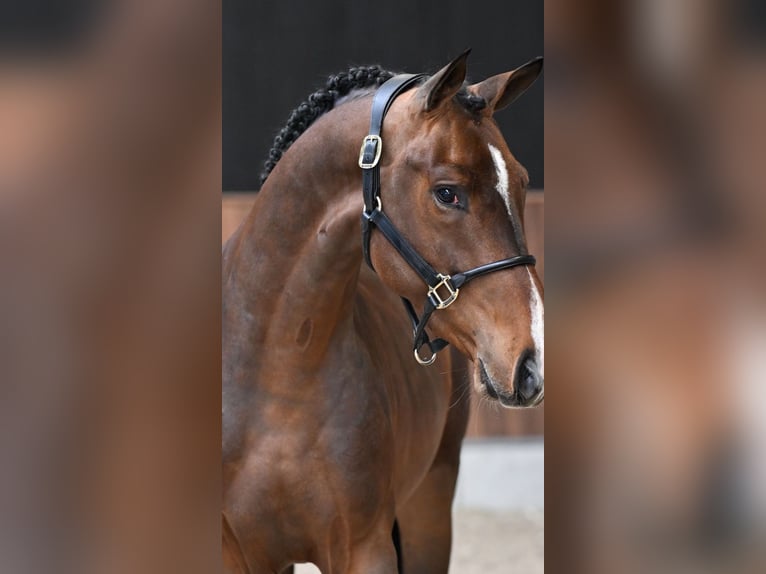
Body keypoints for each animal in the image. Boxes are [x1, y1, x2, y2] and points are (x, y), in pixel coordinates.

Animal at [222, 50, 544, 574]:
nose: (531, 363)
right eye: (447, 192)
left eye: (522, 184)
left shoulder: (365, 549)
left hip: (429, 507)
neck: (274, 384)